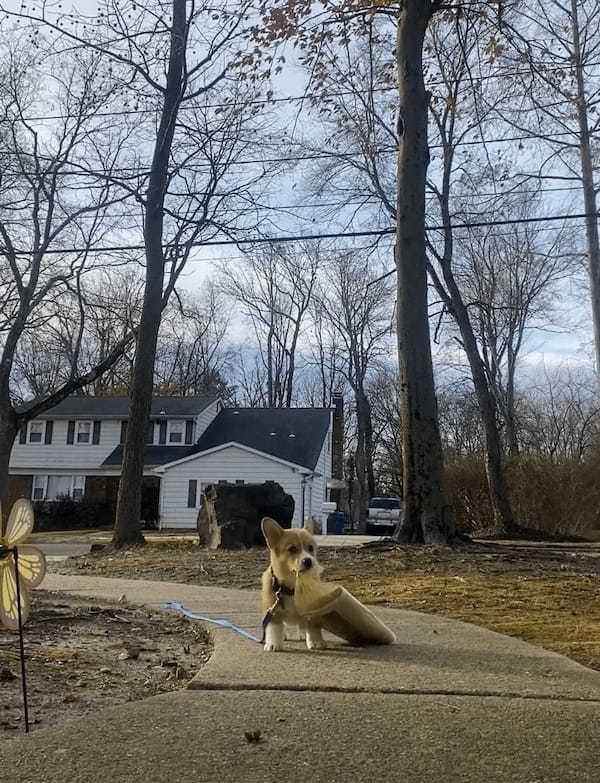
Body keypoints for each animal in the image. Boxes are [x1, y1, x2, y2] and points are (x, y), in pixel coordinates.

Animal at [262, 516, 326, 652]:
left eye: (311, 548)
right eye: (292, 549)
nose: (308, 561)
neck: (293, 587)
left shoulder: (313, 612)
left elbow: (313, 627)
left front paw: (316, 641)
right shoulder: (272, 611)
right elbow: (275, 629)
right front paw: (273, 644)